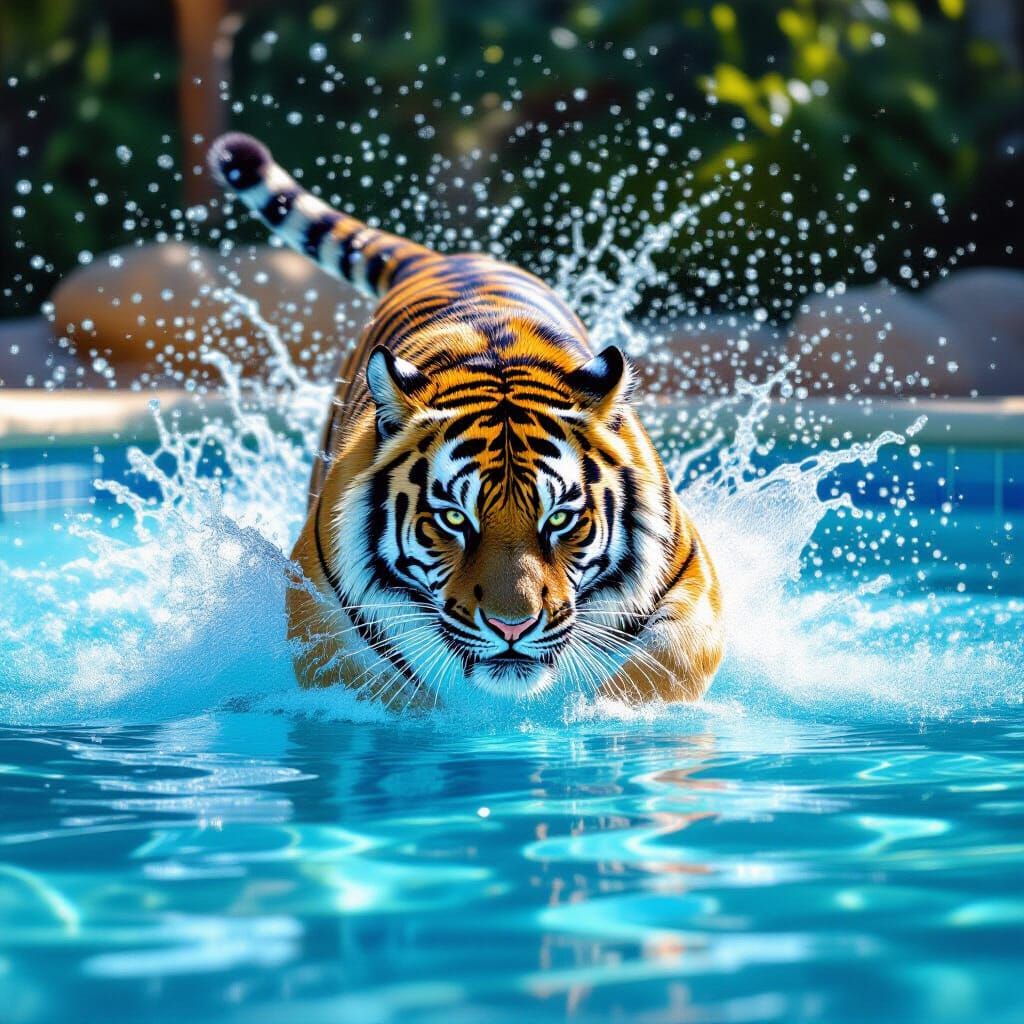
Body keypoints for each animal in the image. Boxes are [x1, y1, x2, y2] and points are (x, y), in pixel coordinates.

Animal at [209, 132, 723, 707]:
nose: (511, 628)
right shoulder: (321, 607)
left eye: (559, 520)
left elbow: (660, 668)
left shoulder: (691, 584)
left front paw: (602, 710)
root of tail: (444, 259)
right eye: (454, 520)